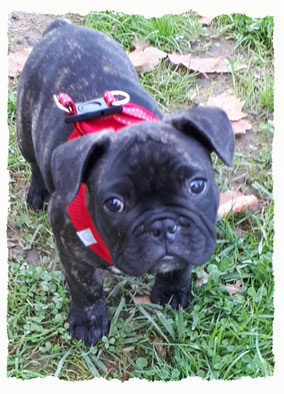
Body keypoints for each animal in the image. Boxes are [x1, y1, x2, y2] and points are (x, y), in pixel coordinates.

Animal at [16, 18, 235, 344]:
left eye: (196, 186)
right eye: (114, 204)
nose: (163, 226)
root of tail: (62, 27)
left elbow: (181, 264)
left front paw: (173, 289)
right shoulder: (67, 240)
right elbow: (84, 283)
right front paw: (89, 320)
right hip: (24, 129)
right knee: (32, 160)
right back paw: (38, 192)